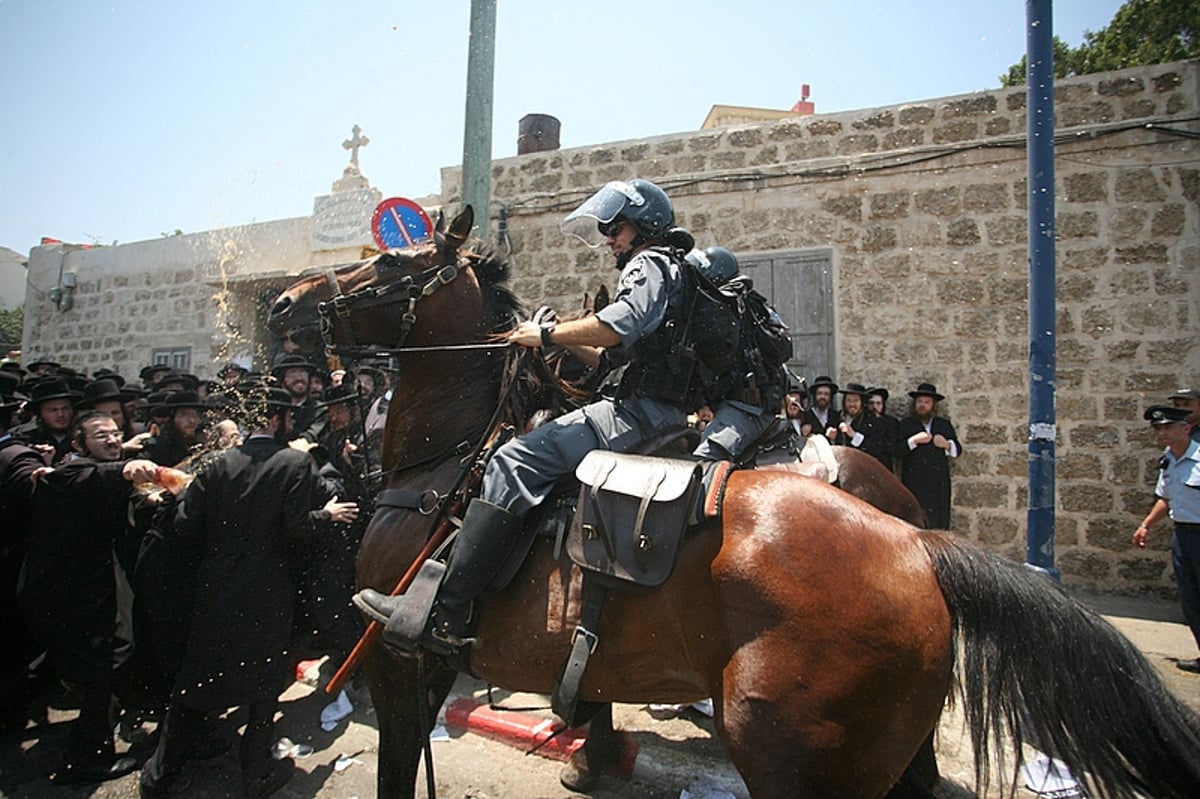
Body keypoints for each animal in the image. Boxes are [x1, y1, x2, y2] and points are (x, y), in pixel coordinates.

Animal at [272, 208, 1200, 791]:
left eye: (393, 260)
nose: (283, 303)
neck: (450, 463)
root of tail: (915, 544)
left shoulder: (400, 660)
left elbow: (401, 767)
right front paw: (592, 747)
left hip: (793, 751)